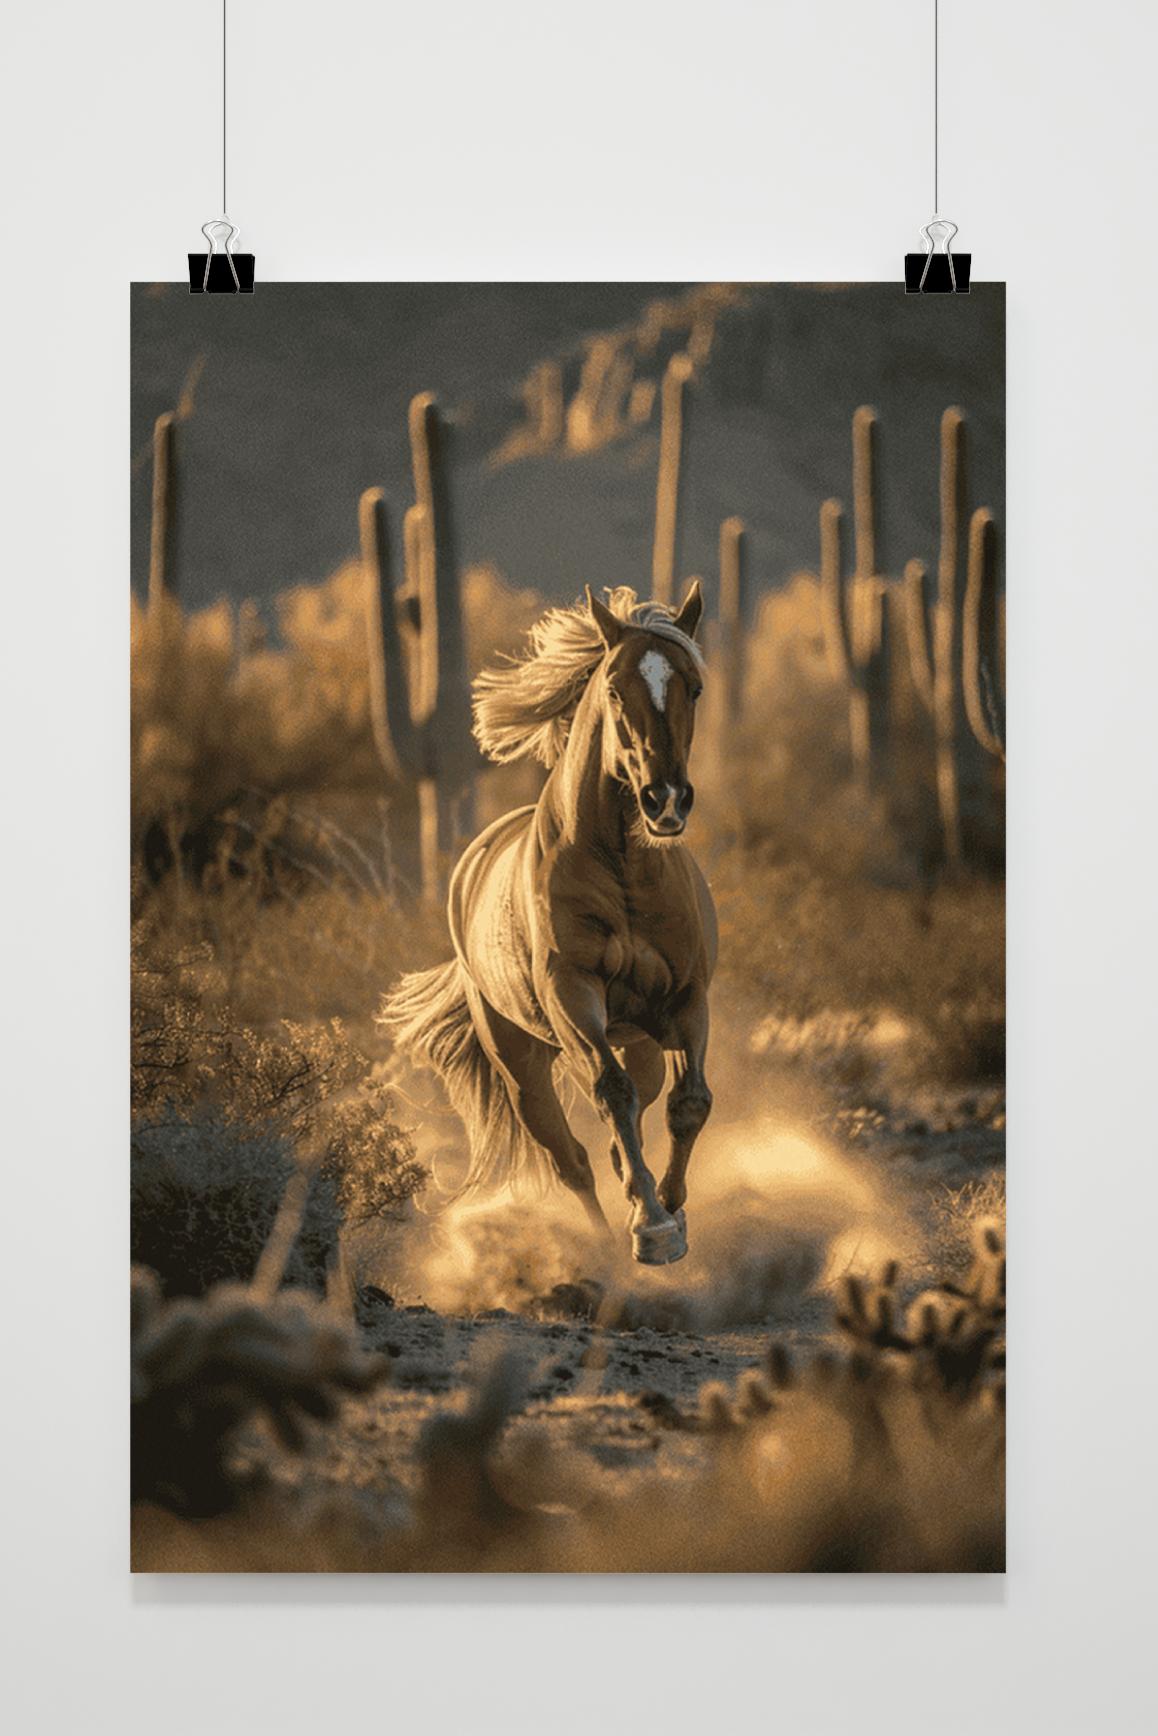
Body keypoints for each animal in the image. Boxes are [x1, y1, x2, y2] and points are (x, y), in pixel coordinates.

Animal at [380, 581, 716, 1265]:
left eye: (693, 686)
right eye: (614, 688)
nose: (664, 800)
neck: (624, 869)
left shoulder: (687, 998)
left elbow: (689, 1102)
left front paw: (671, 1210)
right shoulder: (573, 993)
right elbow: (611, 1094)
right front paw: (653, 1227)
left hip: (640, 1038)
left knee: (630, 1117)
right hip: (521, 1063)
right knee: (571, 1158)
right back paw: (608, 1239)